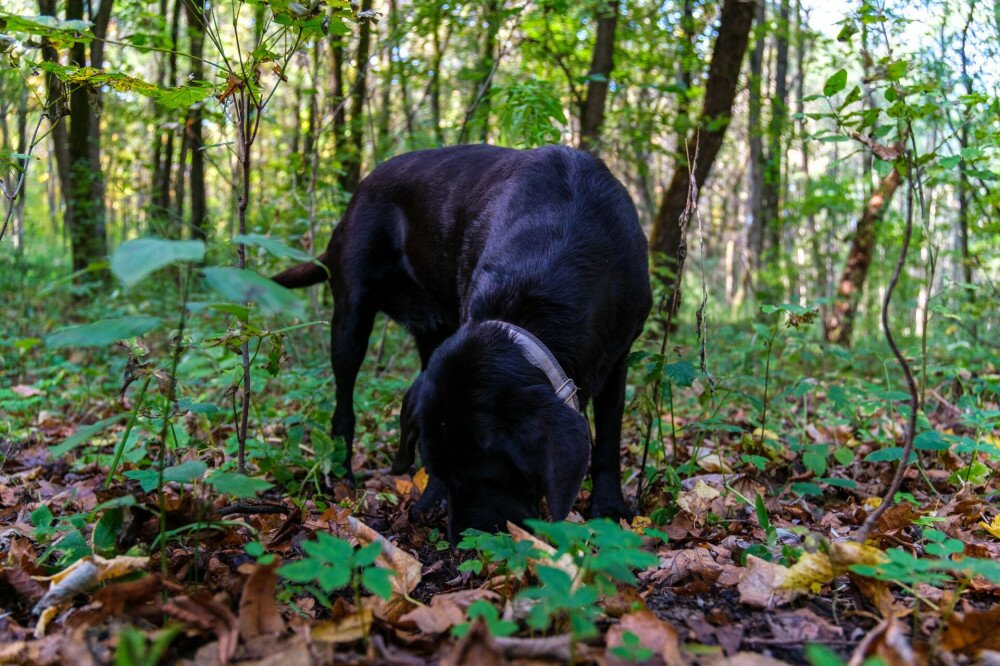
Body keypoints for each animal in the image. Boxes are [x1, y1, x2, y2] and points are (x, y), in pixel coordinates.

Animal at [274, 143, 652, 536]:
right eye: (441, 470)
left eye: (491, 474)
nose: (465, 537)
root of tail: (358, 194)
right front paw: (431, 499)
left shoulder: (618, 356)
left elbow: (608, 438)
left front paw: (608, 507)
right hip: (351, 318)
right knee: (343, 405)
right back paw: (342, 475)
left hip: (432, 332)